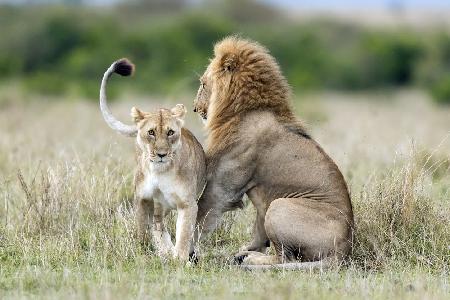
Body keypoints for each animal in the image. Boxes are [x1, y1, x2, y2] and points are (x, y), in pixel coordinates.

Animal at [100, 58, 206, 260]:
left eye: (170, 132)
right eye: (151, 132)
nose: (162, 154)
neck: (160, 172)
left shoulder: (187, 204)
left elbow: (184, 235)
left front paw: (180, 259)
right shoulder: (142, 199)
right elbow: (143, 230)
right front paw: (143, 253)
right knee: (157, 226)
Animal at [192, 37, 354, 270]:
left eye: (203, 84)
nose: (195, 108)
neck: (243, 110)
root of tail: (345, 250)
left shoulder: (221, 188)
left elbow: (199, 217)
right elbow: (257, 234)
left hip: (280, 205)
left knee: (284, 258)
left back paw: (249, 260)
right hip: (272, 206)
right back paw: (241, 255)